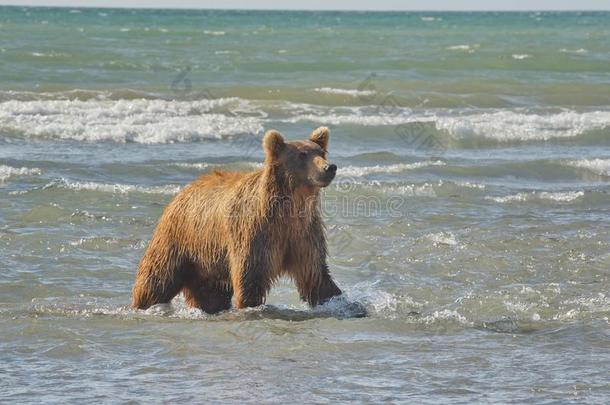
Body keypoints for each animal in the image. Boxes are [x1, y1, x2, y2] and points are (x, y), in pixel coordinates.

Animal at [131, 126, 344, 312]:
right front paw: (251, 305)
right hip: (178, 242)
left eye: (321, 152)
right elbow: (250, 276)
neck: (290, 207)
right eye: (302, 154)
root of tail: (183, 191)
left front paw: (341, 301)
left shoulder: (303, 234)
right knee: (156, 280)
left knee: (210, 295)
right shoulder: (255, 233)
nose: (329, 167)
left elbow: (316, 275)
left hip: (208, 261)